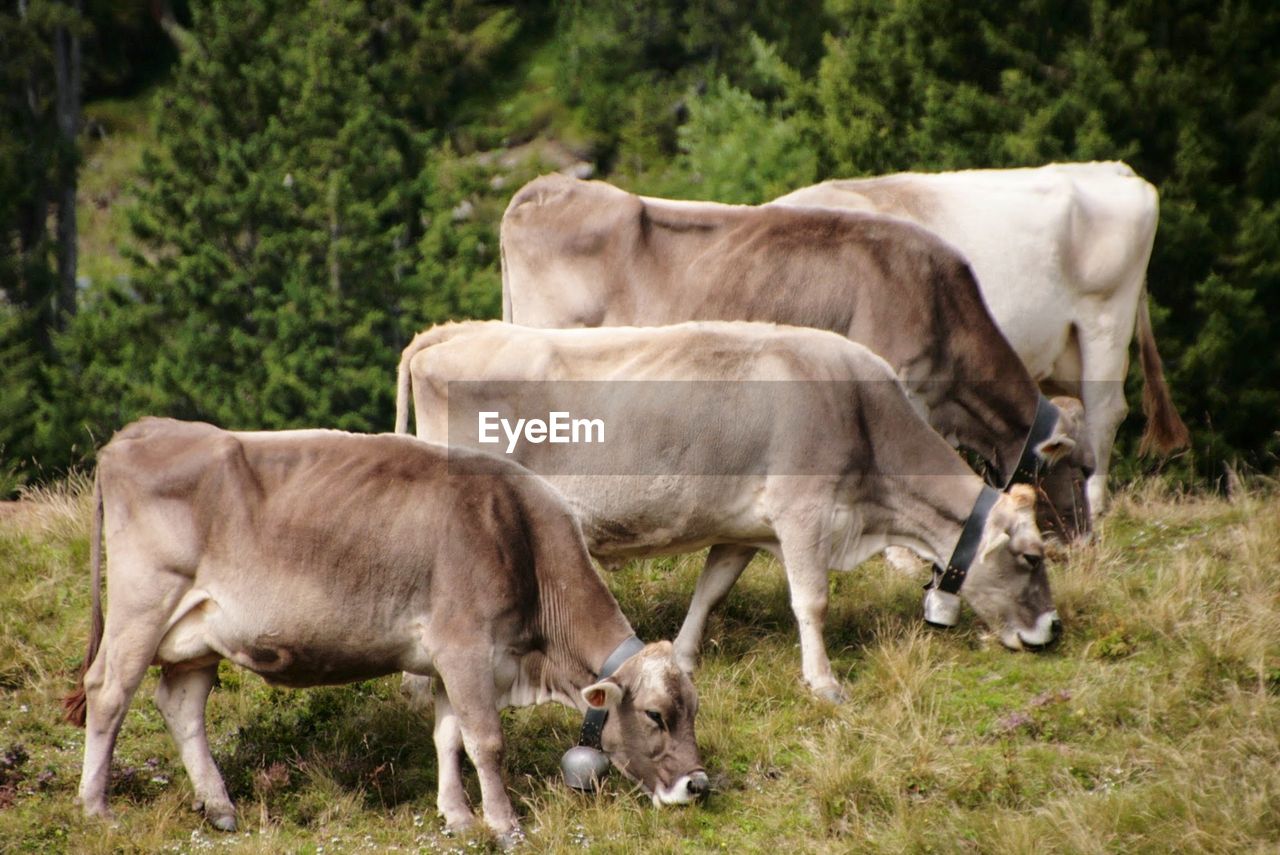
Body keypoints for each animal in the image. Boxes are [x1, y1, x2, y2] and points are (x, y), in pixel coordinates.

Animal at [64, 417, 711, 839]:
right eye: (655, 715)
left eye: (692, 710)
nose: (697, 785)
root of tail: (143, 430)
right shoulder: (465, 645)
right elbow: (486, 741)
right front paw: (504, 824)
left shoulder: (450, 659)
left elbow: (449, 737)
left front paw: (458, 816)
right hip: (142, 603)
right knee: (109, 691)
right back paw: (97, 809)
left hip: (198, 635)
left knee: (180, 705)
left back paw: (219, 806)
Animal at [391, 319, 1059, 701]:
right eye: (1031, 557)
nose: (1052, 630)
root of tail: (453, 332)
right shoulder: (804, 512)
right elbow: (811, 600)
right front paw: (824, 682)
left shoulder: (746, 527)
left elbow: (711, 591)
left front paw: (684, 659)